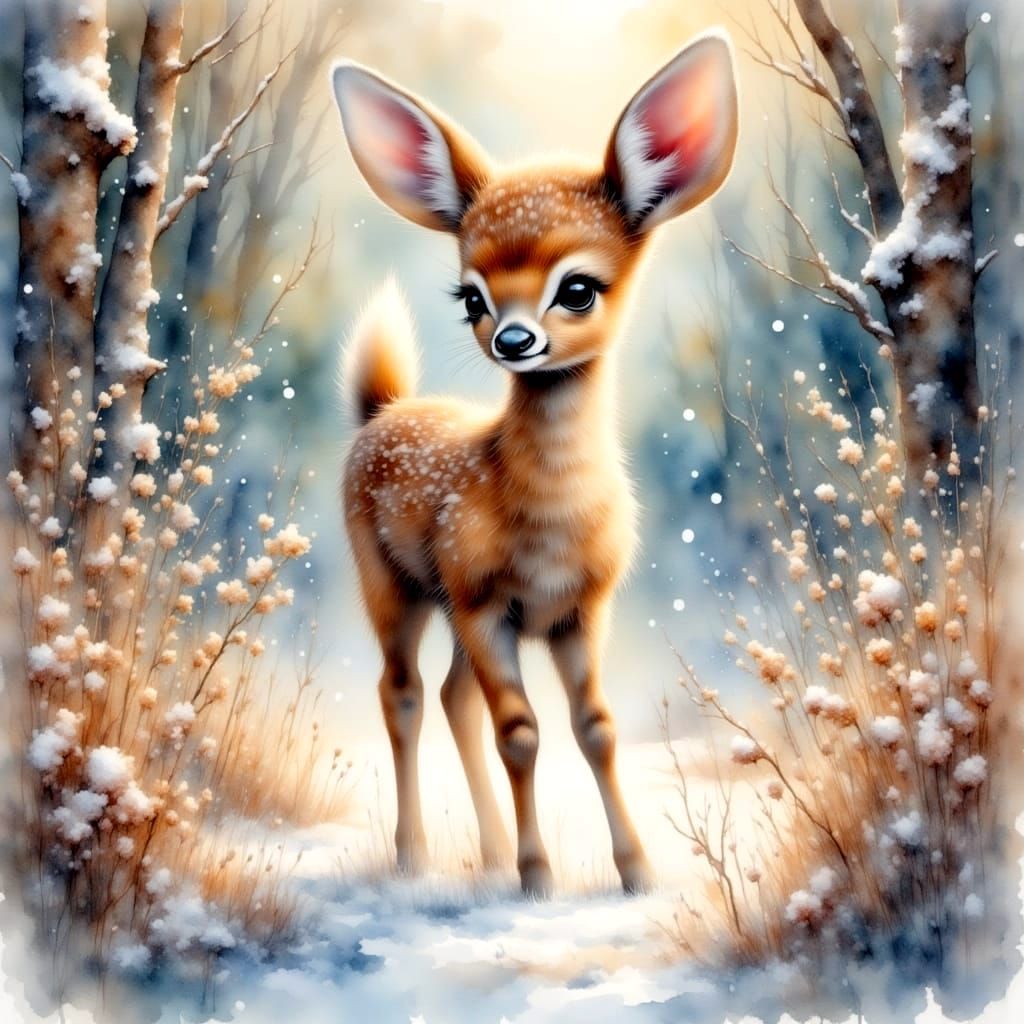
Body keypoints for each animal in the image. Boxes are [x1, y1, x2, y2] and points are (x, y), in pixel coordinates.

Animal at [331, 30, 738, 897]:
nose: (515, 340)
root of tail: (381, 409)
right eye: (471, 299)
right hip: (393, 583)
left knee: (452, 697)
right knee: (403, 694)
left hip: (449, 608)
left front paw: (637, 872)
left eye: (578, 288)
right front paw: (539, 876)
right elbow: (521, 732)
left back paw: (482, 857)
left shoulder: (580, 611)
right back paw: (415, 858)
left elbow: (597, 729)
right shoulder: (487, 603)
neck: (548, 515)